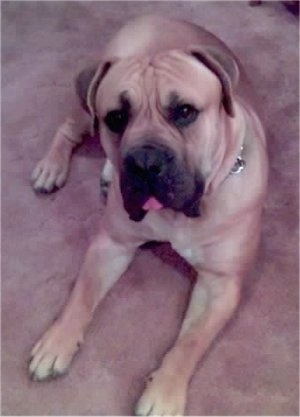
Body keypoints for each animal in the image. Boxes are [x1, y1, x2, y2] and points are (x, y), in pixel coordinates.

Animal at [28, 14, 268, 414]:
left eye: (185, 112)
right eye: (116, 118)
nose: (144, 162)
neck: (180, 217)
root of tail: (158, 16)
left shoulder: (220, 284)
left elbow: (190, 343)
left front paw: (164, 392)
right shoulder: (112, 243)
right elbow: (81, 294)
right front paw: (57, 340)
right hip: (86, 113)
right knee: (67, 128)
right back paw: (52, 167)